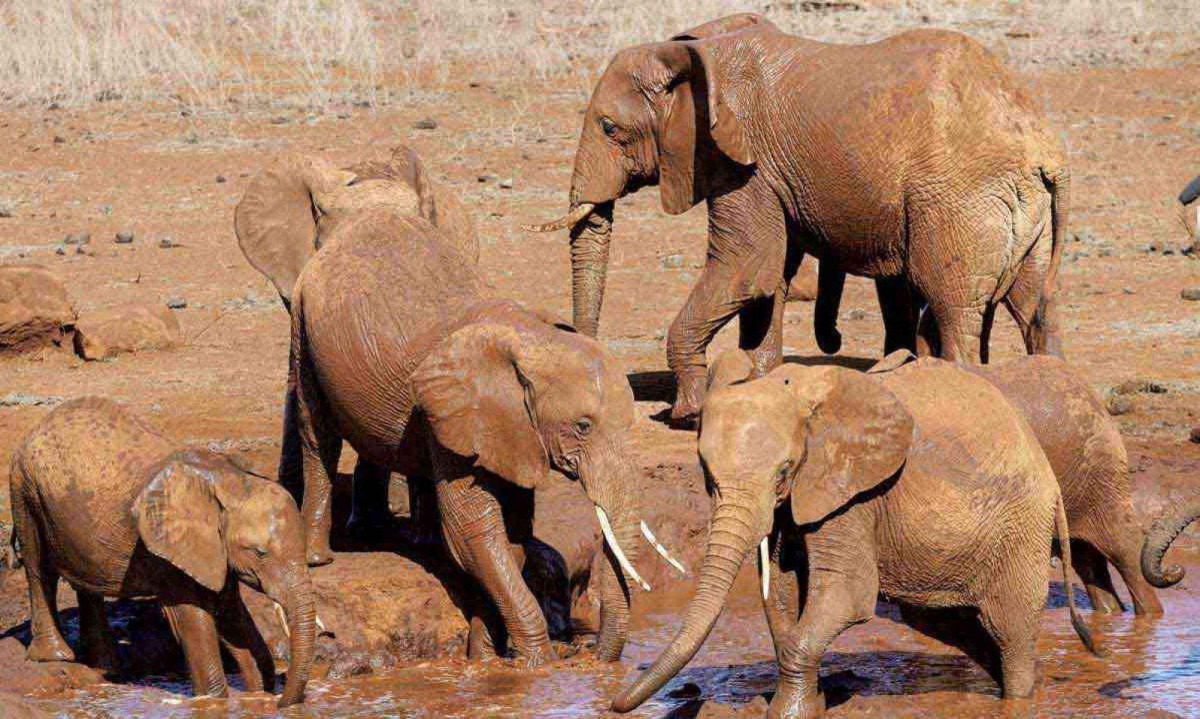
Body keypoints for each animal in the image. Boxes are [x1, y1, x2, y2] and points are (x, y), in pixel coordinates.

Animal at [9, 398, 316, 710]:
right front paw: (213, 701)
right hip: (24, 489)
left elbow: (230, 612)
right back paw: (55, 656)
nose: (281, 703)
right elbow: (192, 618)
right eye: (260, 552)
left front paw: (257, 695)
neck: (227, 480)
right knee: (38, 567)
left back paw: (106, 666)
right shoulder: (167, 549)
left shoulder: (213, 551)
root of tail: (37, 426)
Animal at [280, 205, 667, 667]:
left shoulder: (514, 432)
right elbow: (474, 531)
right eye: (583, 426)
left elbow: (509, 534)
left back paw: (409, 540)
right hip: (303, 326)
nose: (590, 654)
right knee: (317, 433)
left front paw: (485, 658)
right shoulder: (460, 411)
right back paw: (318, 557)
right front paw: (537, 664)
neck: (530, 339)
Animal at [528, 11, 1070, 424]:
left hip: (959, 203)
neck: (692, 51)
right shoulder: (767, 174)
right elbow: (769, 278)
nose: (594, 367)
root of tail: (1044, 149)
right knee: (1033, 308)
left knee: (953, 308)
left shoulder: (742, 162)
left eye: (608, 128)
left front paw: (686, 413)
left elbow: (747, 267)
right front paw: (758, 383)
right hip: (1021, 214)